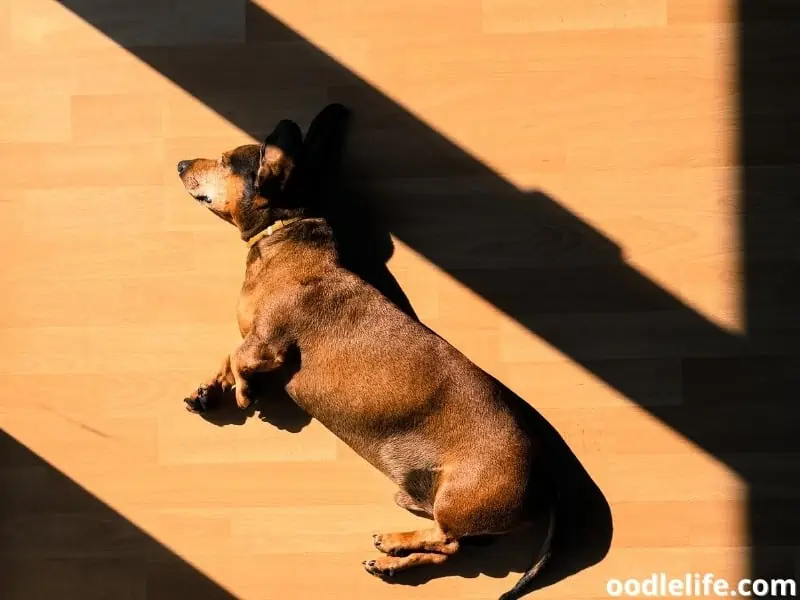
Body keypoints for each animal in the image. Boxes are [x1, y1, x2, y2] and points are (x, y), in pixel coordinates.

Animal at [180, 105, 556, 596]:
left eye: (226, 160)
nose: (180, 164)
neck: (285, 235)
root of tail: (545, 485)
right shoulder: (256, 339)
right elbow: (228, 356)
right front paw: (208, 391)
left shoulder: (270, 341)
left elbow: (241, 357)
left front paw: (244, 394)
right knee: (448, 548)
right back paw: (395, 558)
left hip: (457, 498)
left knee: (450, 542)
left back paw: (395, 545)